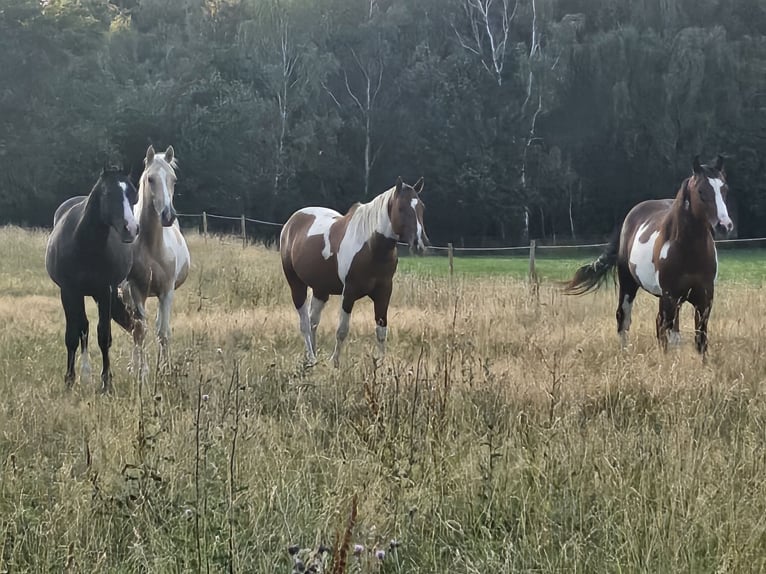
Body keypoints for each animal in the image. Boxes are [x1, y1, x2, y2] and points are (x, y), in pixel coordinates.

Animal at [45, 166, 139, 392]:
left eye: (134, 194)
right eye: (108, 193)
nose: (131, 228)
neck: (84, 244)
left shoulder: (105, 291)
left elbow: (104, 336)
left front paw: (106, 383)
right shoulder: (69, 291)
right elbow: (72, 335)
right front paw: (69, 380)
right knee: (83, 328)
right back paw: (85, 374)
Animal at [124, 145, 191, 377]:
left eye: (174, 179)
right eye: (150, 179)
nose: (168, 216)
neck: (153, 246)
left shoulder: (166, 291)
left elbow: (163, 332)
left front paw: (164, 370)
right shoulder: (137, 291)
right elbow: (139, 331)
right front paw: (141, 372)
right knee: (134, 327)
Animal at [280, 176, 429, 367]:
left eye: (422, 207)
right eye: (401, 208)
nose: (420, 243)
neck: (371, 247)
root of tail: (292, 221)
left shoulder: (384, 292)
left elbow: (381, 330)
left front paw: (381, 364)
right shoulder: (349, 292)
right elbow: (342, 330)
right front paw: (335, 363)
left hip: (321, 289)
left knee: (313, 321)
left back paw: (313, 357)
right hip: (296, 284)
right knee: (305, 323)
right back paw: (311, 358)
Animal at [563, 155, 733, 356]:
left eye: (724, 188)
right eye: (701, 190)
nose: (725, 226)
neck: (689, 252)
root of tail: (629, 217)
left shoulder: (704, 299)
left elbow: (700, 341)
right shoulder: (670, 296)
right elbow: (663, 332)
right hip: (629, 282)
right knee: (625, 318)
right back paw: (625, 354)